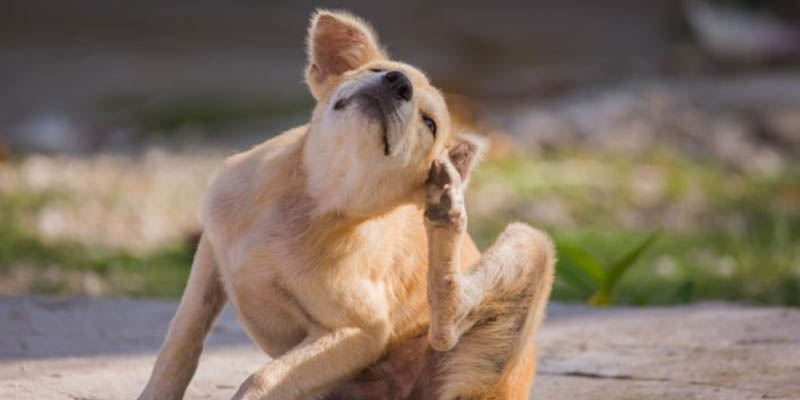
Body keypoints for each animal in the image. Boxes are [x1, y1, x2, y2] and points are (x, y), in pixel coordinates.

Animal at [139, 9, 552, 400]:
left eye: (429, 123)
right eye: (378, 71)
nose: (398, 83)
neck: (314, 198)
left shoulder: (360, 332)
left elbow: (263, 378)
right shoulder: (210, 253)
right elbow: (181, 340)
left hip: (530, 244)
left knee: (447, 328)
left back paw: (446, 210)